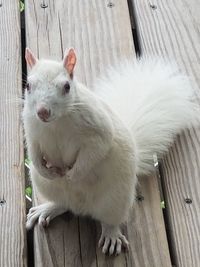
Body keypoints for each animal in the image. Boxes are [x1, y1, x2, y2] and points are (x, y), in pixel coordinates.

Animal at [23, 47, 198, 255]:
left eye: (66, 86)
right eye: (28, 86)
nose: (42, 111)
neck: (56, 123)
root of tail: (82, 207)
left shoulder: (98, 129)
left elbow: (97, 150)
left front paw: (74, 175)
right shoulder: (32, 129)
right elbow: (33, 151)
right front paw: (48, 170)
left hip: (116, 199)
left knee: (110, 221)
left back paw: (111, 235)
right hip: (46, 186)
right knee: (64, 204)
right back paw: (48, 208)